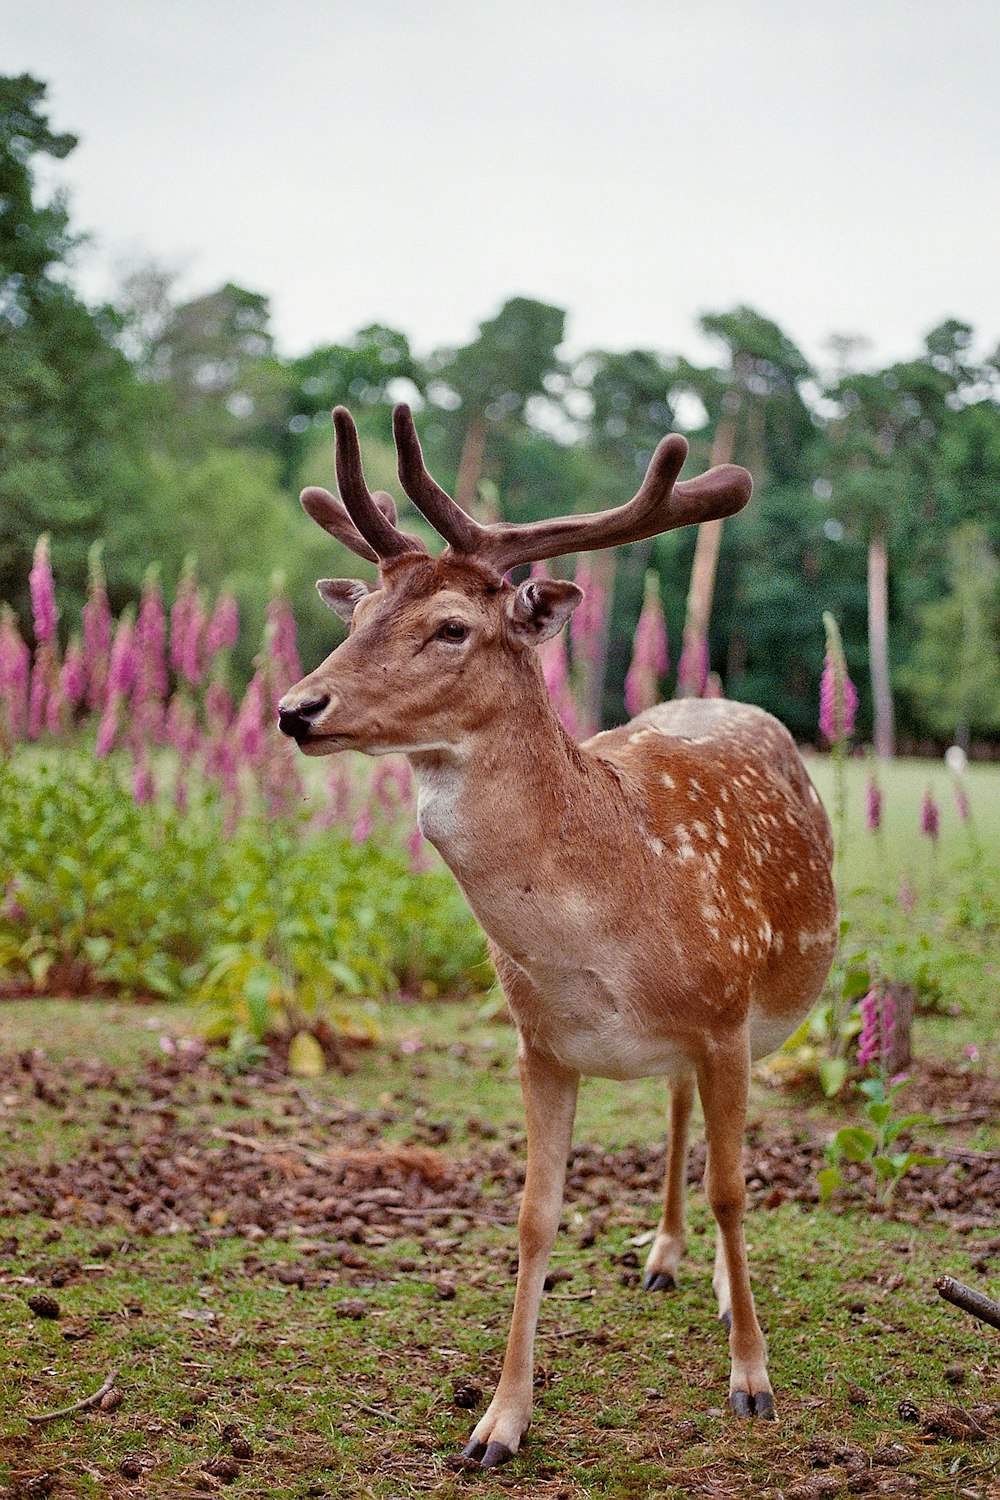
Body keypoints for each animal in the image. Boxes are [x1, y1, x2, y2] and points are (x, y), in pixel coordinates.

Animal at [277, 405, 839, 1470]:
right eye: (356, 618)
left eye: (452, 627)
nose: (296, 708)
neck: (608, 933)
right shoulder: (540, 1042)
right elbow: (535, 1219)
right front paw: (498, 1422)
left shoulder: (726, 1017)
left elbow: (735, 1191)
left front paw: (752, 1379)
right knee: (675, 1109)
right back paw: (660, 1255)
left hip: (748, 1019)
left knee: (711, 1144)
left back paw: (707, 1277)